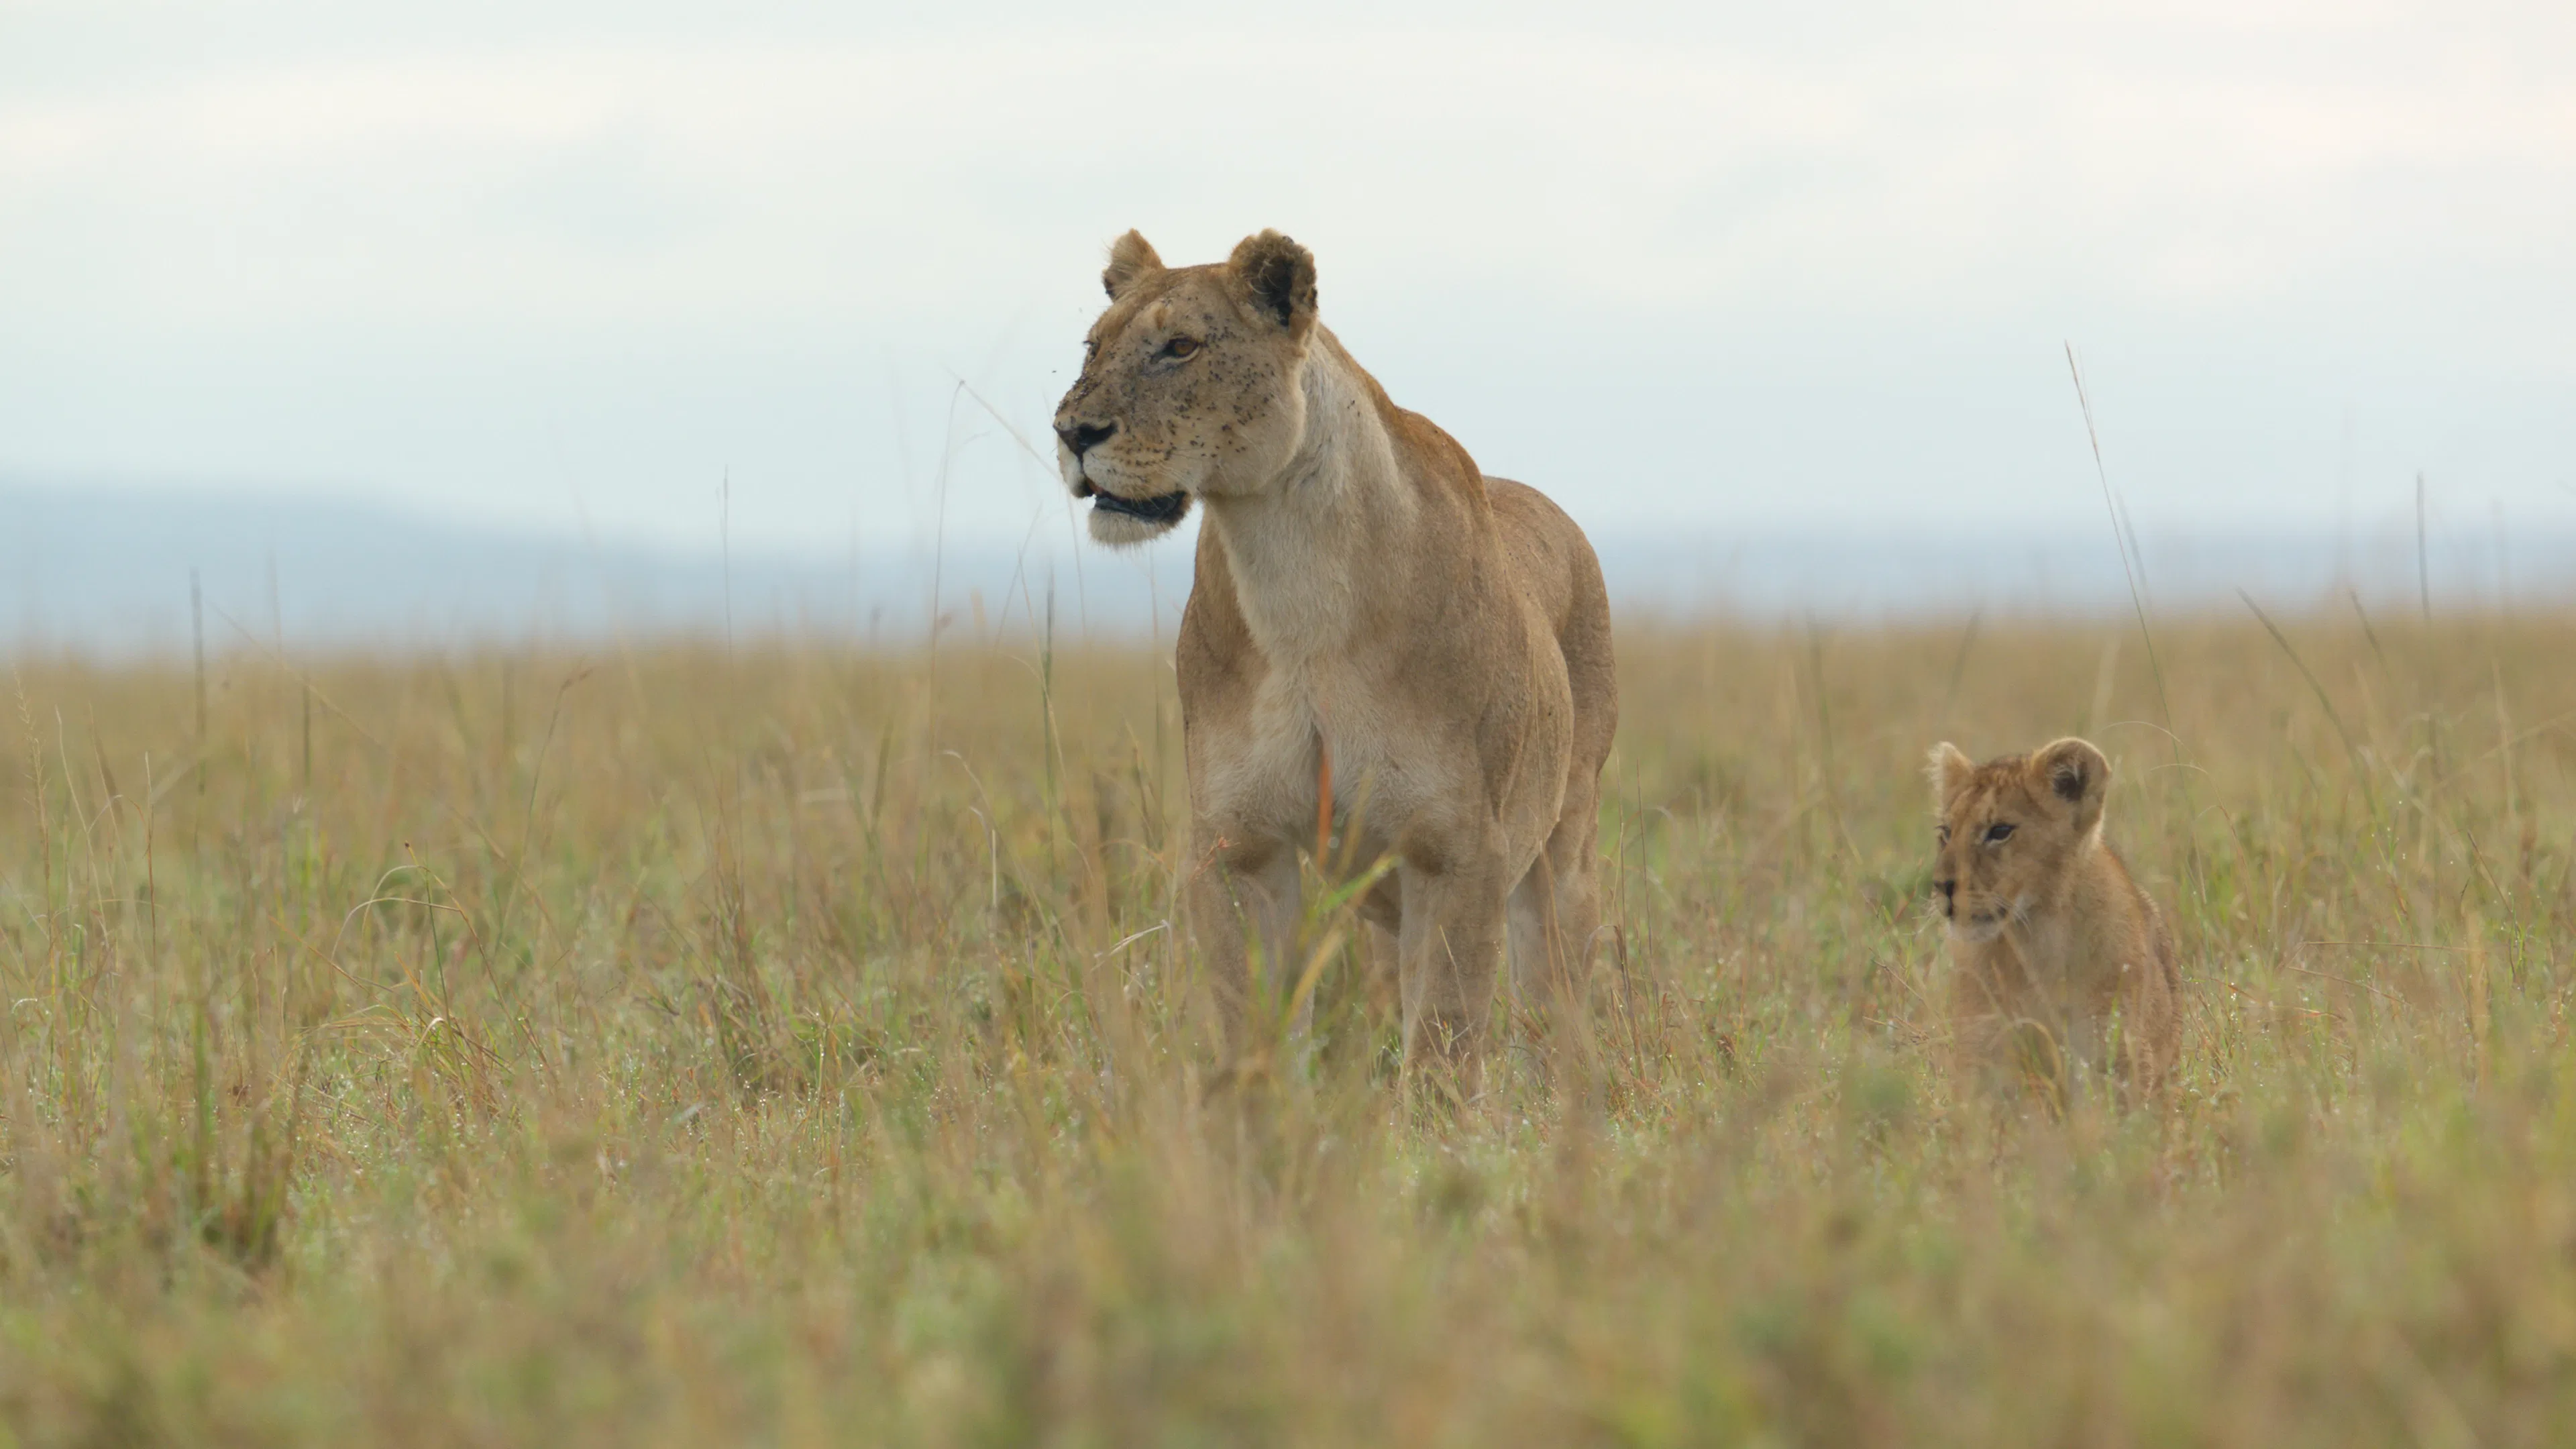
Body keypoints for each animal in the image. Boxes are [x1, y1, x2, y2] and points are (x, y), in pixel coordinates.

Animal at [1052, 229, 1617, 1092]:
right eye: (1093, 346)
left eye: (1180, 347)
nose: (1071, 433)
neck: (1292, 581)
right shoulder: (1238, 845)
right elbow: (1252, 1018)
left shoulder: (1458, 850)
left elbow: (1445, 1037)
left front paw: (1437, 1123)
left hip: (1564, 849)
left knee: (1554, 999)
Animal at [1926, 737, 2180, 1097]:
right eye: (1946, 833)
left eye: (2000, 831)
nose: (1942, 886)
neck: (2034, 938)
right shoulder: (1984, 1051)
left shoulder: (2113, 1052)